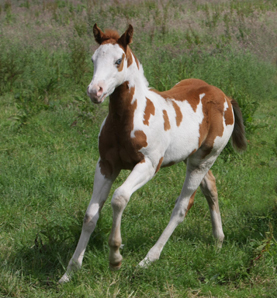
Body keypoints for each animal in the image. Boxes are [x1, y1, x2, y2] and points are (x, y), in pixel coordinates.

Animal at [58, 25, 246, 282]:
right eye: (93, 59)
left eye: (118, 60)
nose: (95, 92)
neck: (127, 119)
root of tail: (225, 97)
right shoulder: (106, 165)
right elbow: (90, 215)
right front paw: (69, 272)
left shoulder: (148, 164)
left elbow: (119, 198)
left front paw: (115, 258)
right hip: (194, 158)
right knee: (211, 187)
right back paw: (218, 241)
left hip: (203, 160)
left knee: (181, 207)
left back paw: (148, 259)